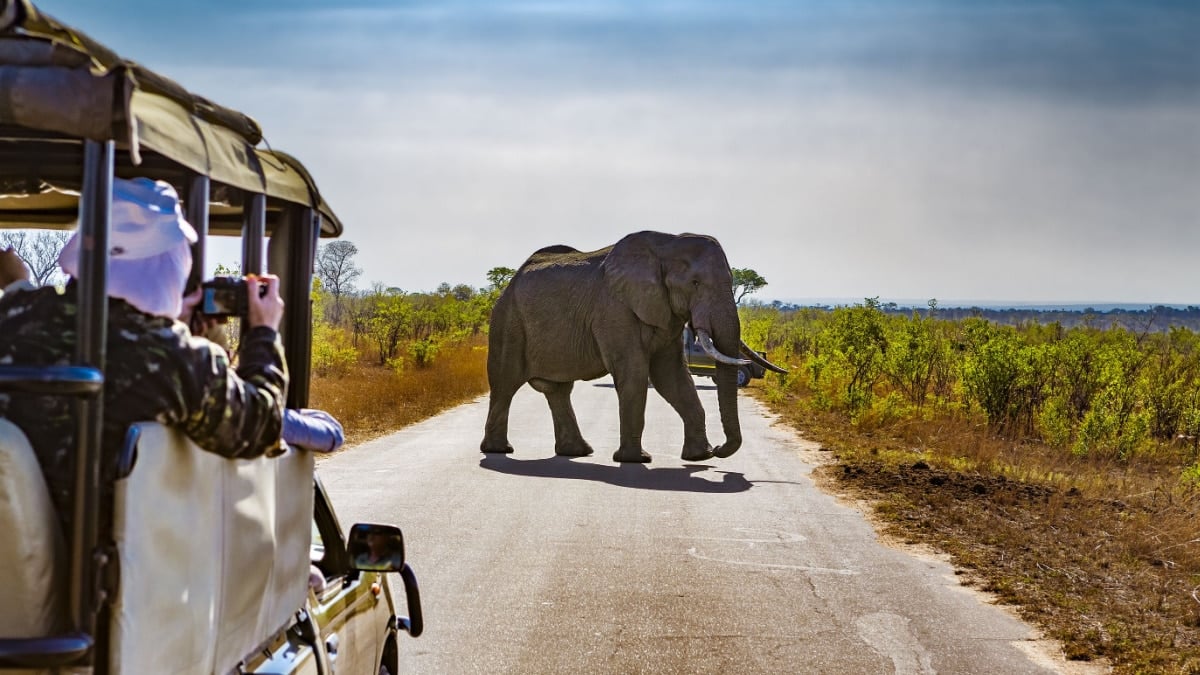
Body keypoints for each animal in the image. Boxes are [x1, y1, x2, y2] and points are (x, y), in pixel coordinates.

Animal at [477, 228, 787, 458]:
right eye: (696, 283)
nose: (722, 449)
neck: (667, 245)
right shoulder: (614, 309)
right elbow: (635, 372)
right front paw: (636, 460)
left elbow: (672, 376)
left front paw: (699, 457)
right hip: (508, 322)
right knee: (505, 384)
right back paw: (499, 450)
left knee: (558, 391)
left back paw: (577, 452)